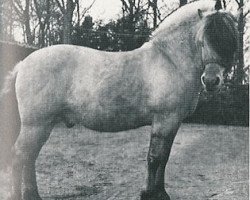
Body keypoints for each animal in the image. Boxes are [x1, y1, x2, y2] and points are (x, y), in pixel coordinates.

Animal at [0, 0, 237, 199]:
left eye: (228, 39)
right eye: (203, 40)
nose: (211, 81)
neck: (169, 60)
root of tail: (24, 63)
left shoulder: (172, 123)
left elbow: (164, 158)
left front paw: (158, 192)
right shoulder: (165, 120)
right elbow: (155, 158)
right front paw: (151, 194)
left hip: (44, 125)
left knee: (29, 157)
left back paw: (33, 195)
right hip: (36, 125)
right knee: (19, 156)